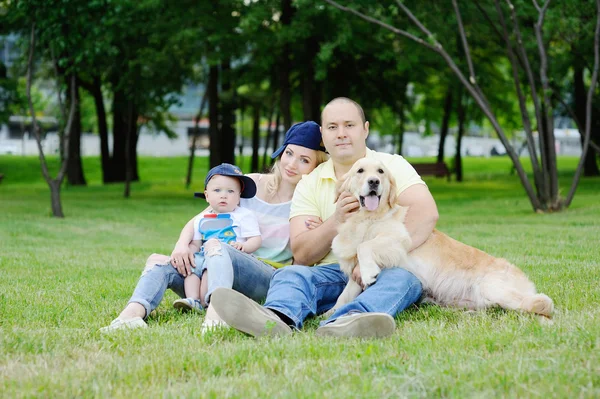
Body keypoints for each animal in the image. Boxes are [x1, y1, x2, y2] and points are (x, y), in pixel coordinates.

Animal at [328, 159, 552, 318]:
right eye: (360, 171)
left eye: (380, 172)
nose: (373, 181)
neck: (366, 219)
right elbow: (344, 296)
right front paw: (329, 312)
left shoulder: (400, 239)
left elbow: (365, 246)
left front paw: (368, 272)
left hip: (493, 287)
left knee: (541, 304)